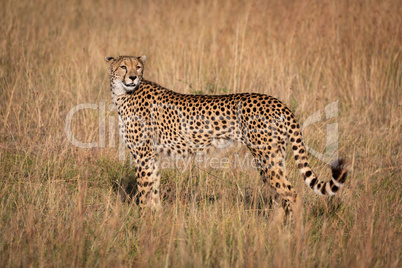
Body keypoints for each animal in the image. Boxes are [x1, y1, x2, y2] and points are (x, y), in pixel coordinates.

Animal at [105, 55, 348, 215]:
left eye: (138, 67)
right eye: (123, 66)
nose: (133, 77)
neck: (123, 94)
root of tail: (277, 101)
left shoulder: (142, 156)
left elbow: (144, 189)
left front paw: (143, 221)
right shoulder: (151, 156)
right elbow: (153, 188)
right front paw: (155, 218)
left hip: (266, 156)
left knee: (292, 195)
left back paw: (293, 238)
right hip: (273, 156)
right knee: (280, 195)